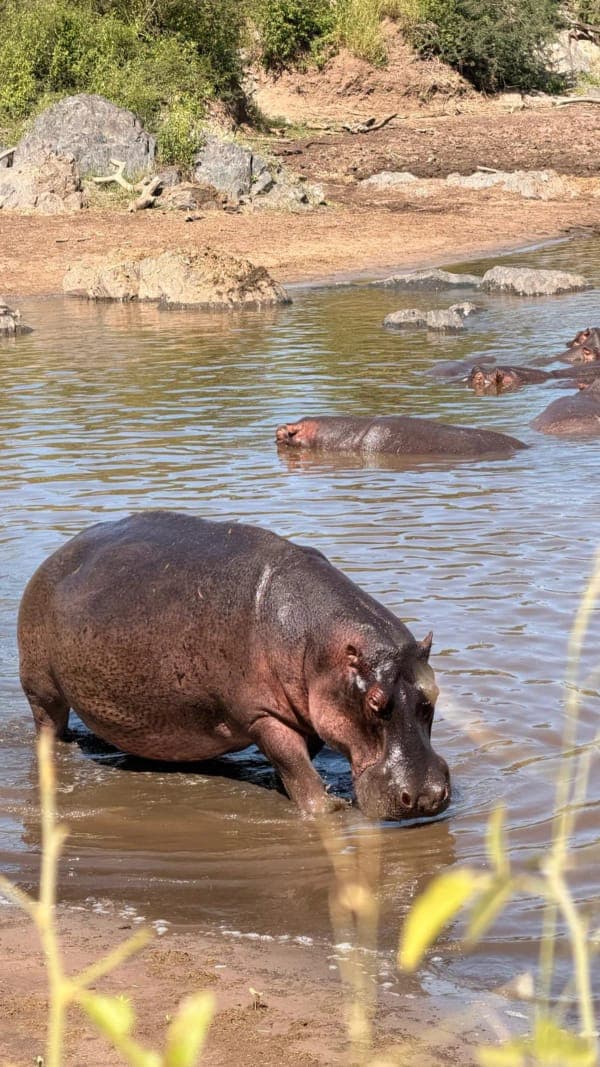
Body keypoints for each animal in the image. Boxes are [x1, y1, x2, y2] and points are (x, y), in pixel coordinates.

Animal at [18, 511, 450, 821]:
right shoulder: (261, 714)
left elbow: (300, 757)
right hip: (40, 685)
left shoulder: (306, 711)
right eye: (375, 702)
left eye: (433, 692)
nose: (427, 797)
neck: (318, 643)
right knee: (47, 722)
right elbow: (294, 763)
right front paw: (329, 809)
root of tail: (53, 558)